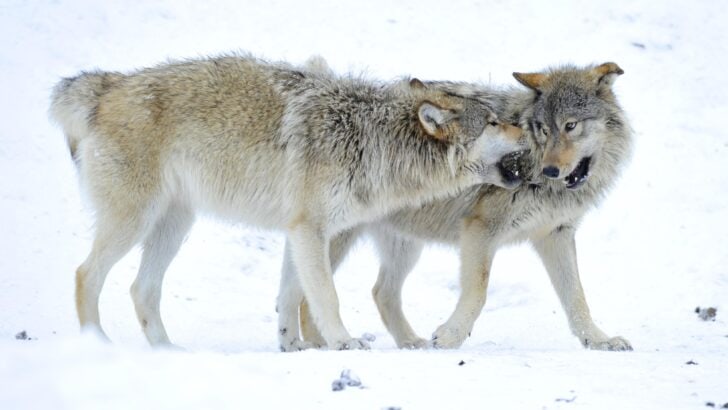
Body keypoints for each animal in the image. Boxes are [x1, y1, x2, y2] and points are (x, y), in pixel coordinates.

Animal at [50, 53, 525, 350]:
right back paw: (97, 346)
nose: (527, 127)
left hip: (174, 225)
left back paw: (167, 352)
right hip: (134, 221)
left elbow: (291, 294)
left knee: (141, 289)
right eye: (494, 122)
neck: (371, 140)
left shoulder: (300, 232)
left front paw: (292, 346)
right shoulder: (310, 230)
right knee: (84, 275)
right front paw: (343, 342)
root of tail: (109, 85)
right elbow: (325, 296)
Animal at [278, 62, 634, 351]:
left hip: (406, 246)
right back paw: (325, 345)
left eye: (571, 126)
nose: (549, 170)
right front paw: (451, 336)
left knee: (381, 292)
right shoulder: (480, 228)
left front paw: (598, 341)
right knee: (310, 296)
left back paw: (410, 343)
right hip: (335, 237)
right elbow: (478, 291)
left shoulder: (556, 234)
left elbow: (577, 298)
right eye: (543, 130)